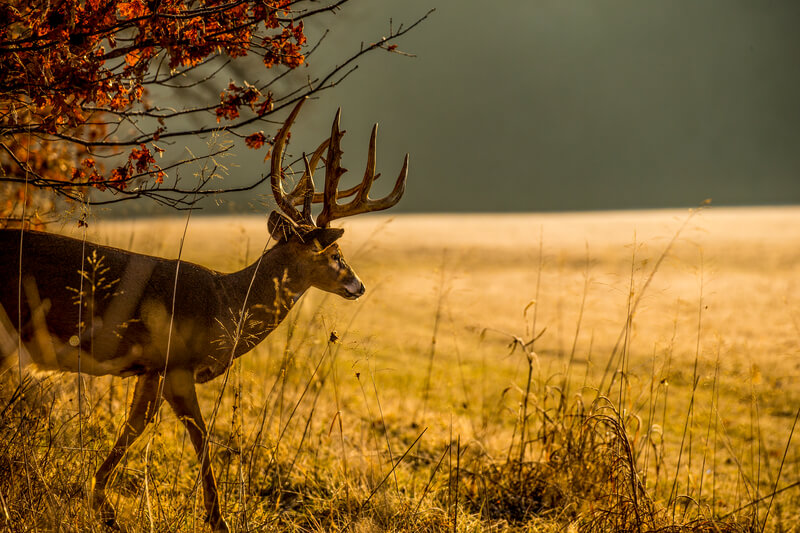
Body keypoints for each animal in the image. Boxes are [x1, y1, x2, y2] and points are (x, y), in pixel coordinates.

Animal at [0, 97, 410, 528]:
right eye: (335, 255)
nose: (359, 285)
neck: (225, 302)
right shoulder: (178, 365)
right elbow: (201, 436)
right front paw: (218, 519)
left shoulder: (151, 368)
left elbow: (135, 425)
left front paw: (103, 506)